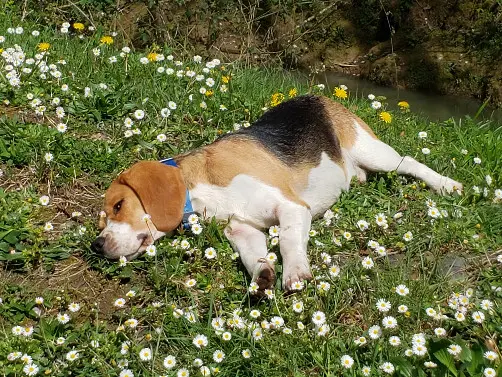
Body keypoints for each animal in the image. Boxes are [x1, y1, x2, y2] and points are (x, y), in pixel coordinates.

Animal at [93, 94, 462, 290]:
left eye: (119, 206)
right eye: (100, 222)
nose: (96, 245)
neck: (200, 189)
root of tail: (322, 96)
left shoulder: (291, 207)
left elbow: (286, 240)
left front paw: (295, 273)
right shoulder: (241, 229)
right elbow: (253, 253)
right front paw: (262, 275)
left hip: (372, 150)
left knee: (410, 162)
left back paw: (447, 185)